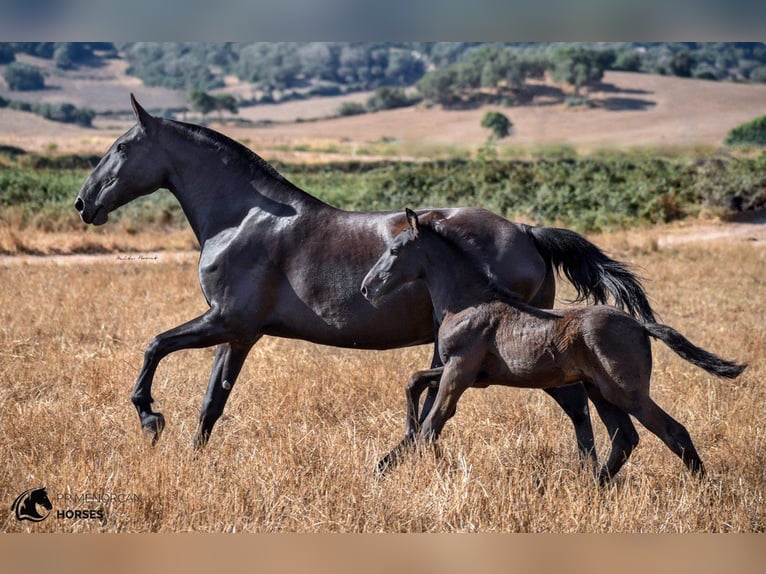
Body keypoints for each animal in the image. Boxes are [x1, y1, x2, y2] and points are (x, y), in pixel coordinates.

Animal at [75, 94, 656, 459]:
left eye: (122, 147)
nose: (84, 203)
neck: (242, 218)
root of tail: (528, 233)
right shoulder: (237, 334)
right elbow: (211, 403)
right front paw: (191, 459)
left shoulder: (226, 321)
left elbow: (155, 345)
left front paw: (150, 419)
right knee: (576, 406)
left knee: (575, 405)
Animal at [361, 209, 746, 482]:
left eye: (395, 250)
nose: (367, 288)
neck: (468, 300)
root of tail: (639, 325)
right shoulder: (468, 372)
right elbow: (415, 382)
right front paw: (408, 446)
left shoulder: (459, 371)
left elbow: (435, 421)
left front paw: (432, 473)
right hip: (600, 390)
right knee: (625, 437)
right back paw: (595, 485)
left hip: (626, 391)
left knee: (672, 430)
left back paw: (705, 489)